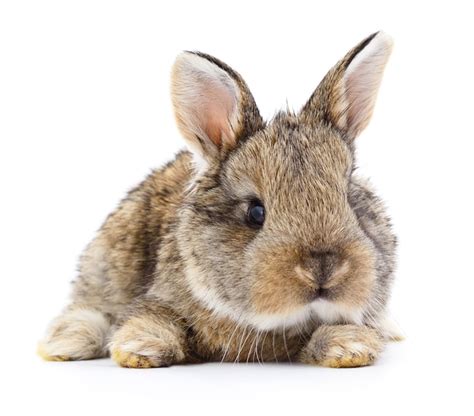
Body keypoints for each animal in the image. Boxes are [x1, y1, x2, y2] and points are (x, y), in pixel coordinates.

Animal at [39, 30, 400, 368]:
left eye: (350, 199)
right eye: (255, 212)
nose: (322, 268)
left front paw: (349, 346)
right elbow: (153, 317)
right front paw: (140, 348)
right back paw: (64, 345)